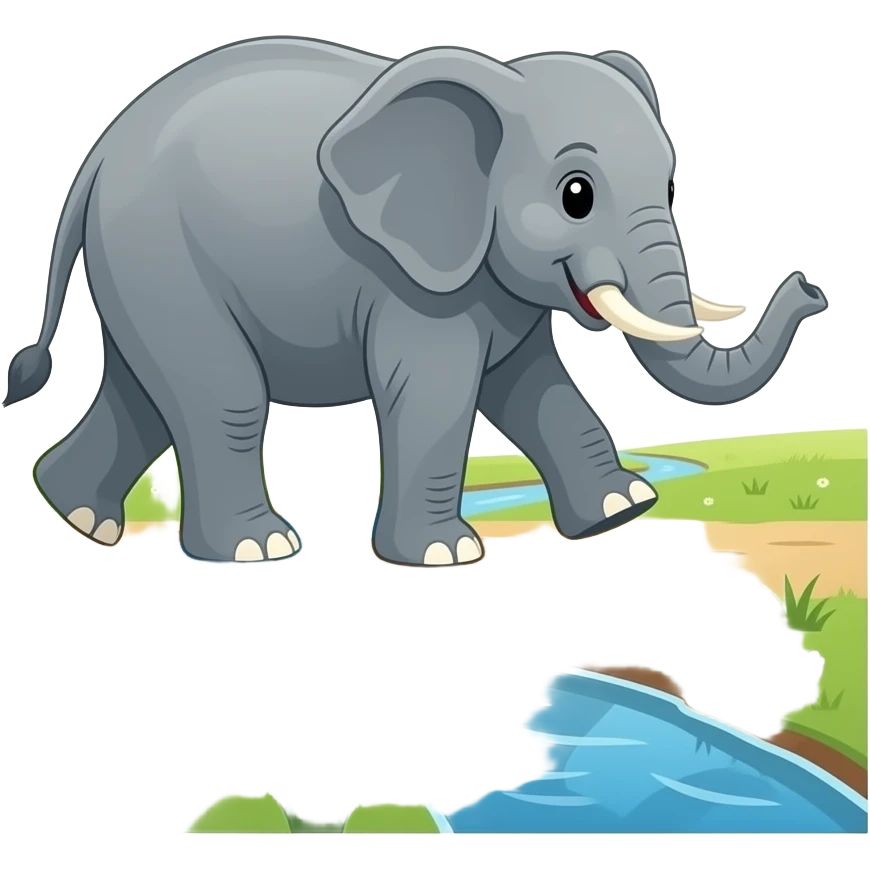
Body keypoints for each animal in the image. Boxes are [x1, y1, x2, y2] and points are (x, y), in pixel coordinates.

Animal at [3, 37, 828, 568]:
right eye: (576, 196)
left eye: (669, 185)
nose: (808, 287)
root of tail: (96, 155)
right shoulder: (418, 283)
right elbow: (440, 392)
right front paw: (445, 553)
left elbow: (535, 387)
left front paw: (622, 509)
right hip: (165, 259)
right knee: (221, 393)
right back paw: (256, 548)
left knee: (144, 394)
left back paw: (78, 515)